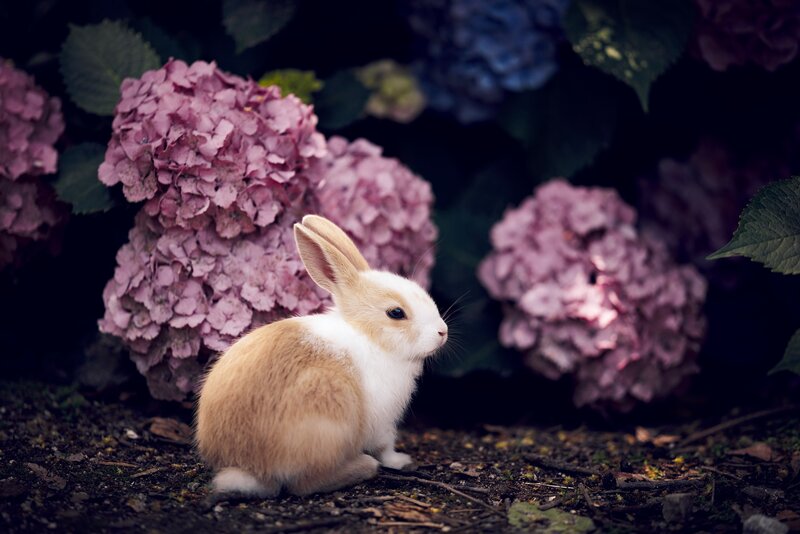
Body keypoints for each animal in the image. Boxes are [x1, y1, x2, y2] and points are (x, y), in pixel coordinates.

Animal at [196, 214, 448, 497]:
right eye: (396, 313)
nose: (443, 332)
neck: (369, 337)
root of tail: (249, 467)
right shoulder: (382, 422)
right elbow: (385, 448)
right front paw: (401, 461)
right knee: (303, 484)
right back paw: (363, 467)